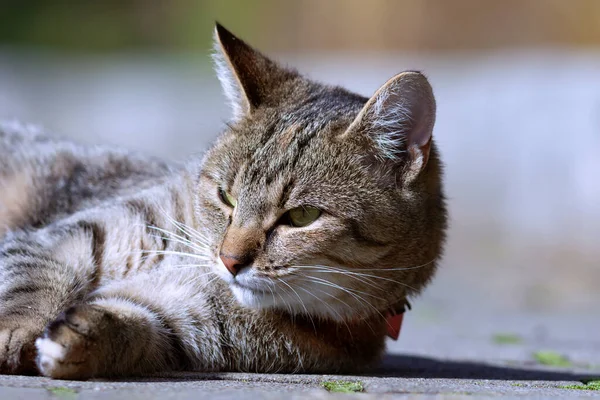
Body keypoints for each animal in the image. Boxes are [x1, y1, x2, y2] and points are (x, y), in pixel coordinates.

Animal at [0, 23, 446, 380]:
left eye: (303, 216)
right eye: (226, 196)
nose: (230, 260)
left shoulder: (188, 323)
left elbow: (137, 329)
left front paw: (85, 337)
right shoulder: (70, 236)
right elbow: (32, 280)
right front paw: (15, 332)